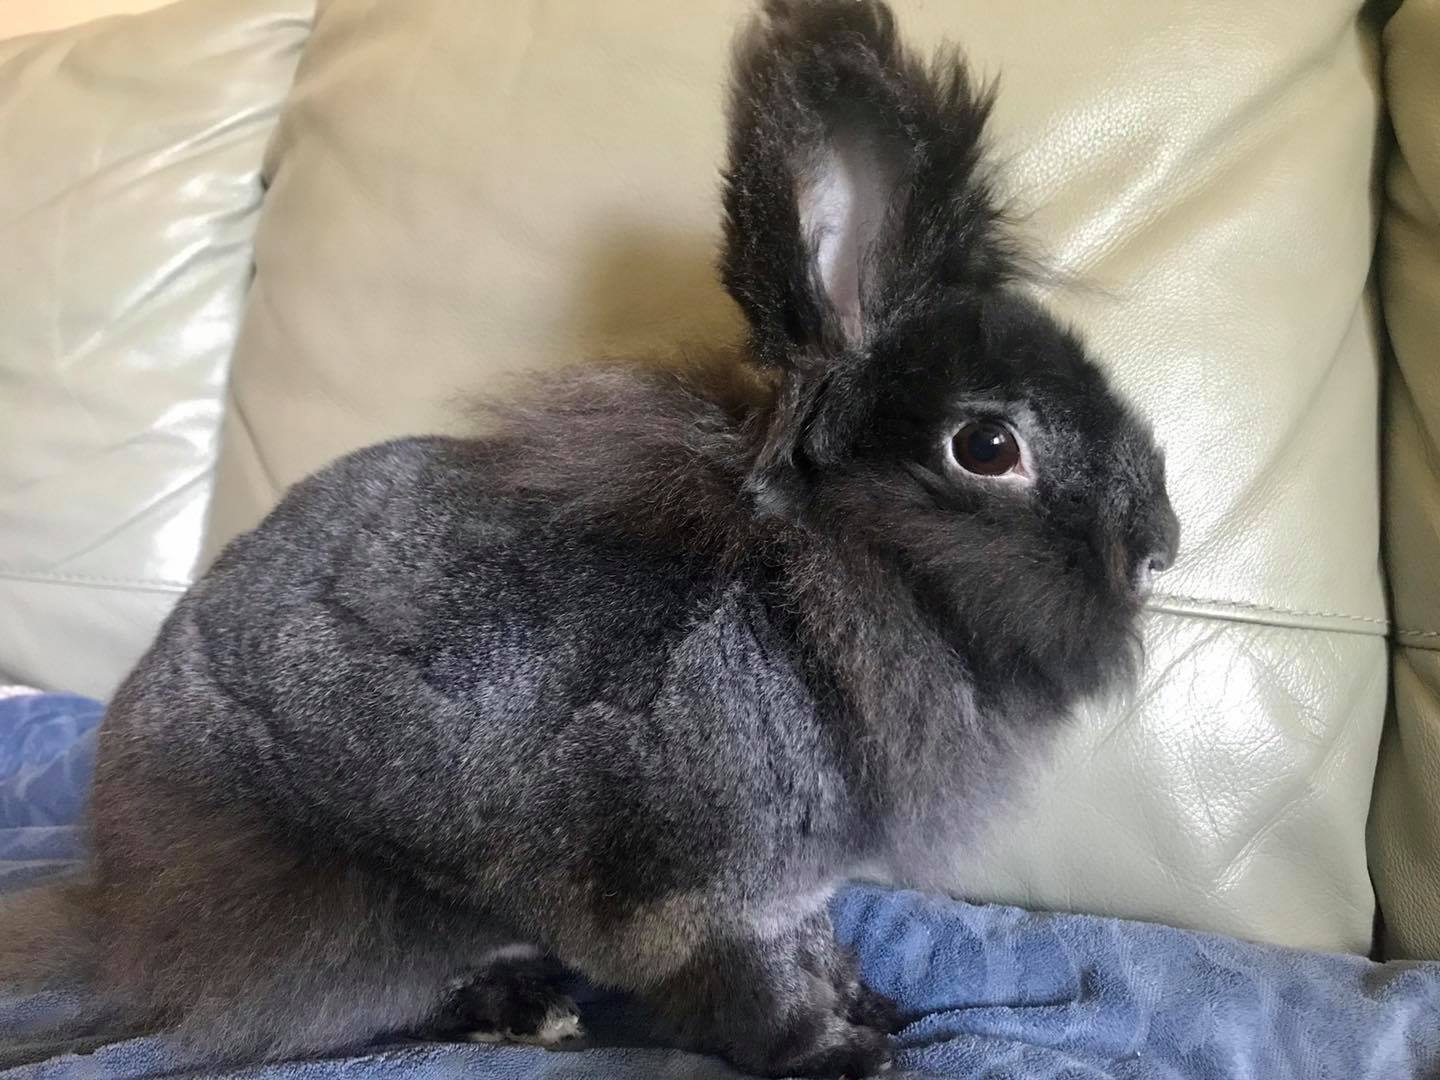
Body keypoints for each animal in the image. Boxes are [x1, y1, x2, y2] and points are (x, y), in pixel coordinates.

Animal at [0, 1, 1179, 1077]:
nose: (1162, 544)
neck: (803, 583)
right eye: (987, 446)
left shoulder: (801, 890)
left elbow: (816, 951)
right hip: (369, 911)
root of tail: (120, 885)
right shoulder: (703, 898)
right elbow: (755, 989)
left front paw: (874, 1009)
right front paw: (839, 1057)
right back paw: (530, 1014)